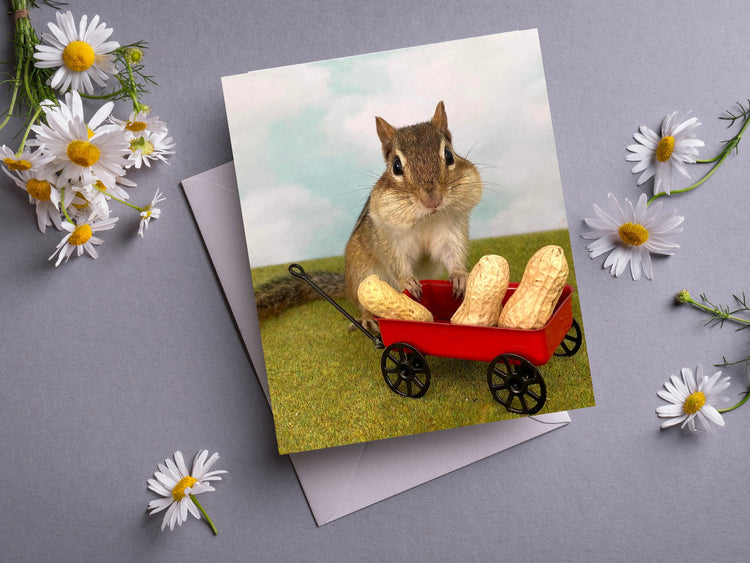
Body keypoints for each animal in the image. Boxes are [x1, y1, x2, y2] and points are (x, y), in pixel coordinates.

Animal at [255, 101, 483, 333]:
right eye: (396, 166)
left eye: (449, 155)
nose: (432, 200)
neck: (427, 218)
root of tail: (347, 284)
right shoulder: (389, 237)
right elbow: (396, 261)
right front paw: (407, 281)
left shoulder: (451, 229)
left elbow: (452, 254)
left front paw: (459, 276)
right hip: (361, 274)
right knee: (362, 302)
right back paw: (367, 320)